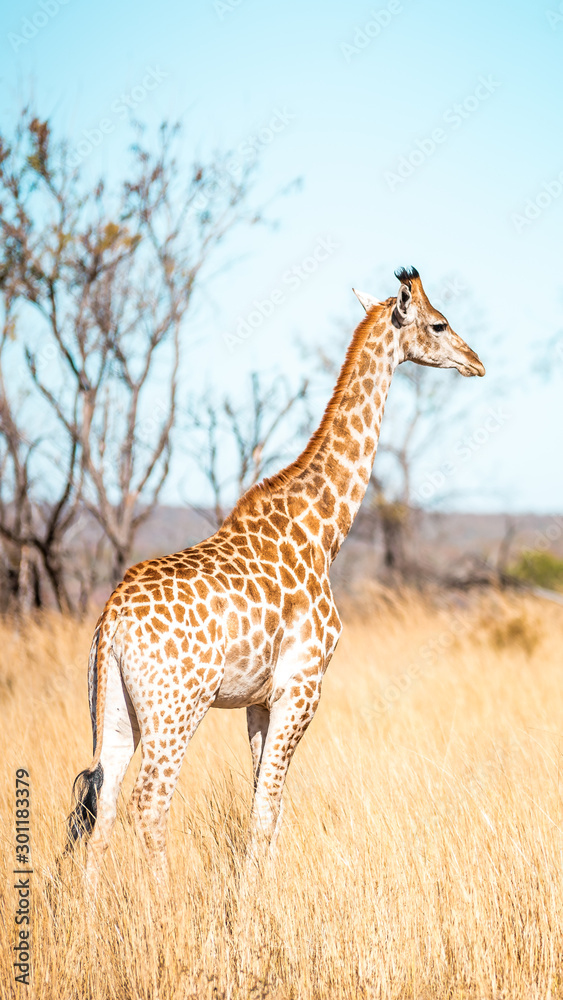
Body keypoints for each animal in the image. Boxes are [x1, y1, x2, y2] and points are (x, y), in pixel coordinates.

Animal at [65, 266, 485, 884]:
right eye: (439, 323)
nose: (475, 362)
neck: (322, 530)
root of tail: (112, 620)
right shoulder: (302, 686)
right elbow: (267, 808)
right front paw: (250, 902)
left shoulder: (260, 701)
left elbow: (267, 806)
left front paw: (256, 891)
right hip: (176, 708)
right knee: (150, 802)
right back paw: (163, 903)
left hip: (117, 709)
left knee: (106, 801)